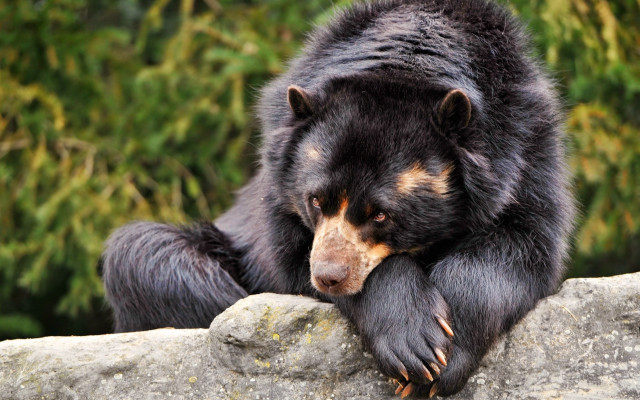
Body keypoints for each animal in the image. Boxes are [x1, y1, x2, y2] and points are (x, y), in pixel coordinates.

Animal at [101, 0, 575, 397]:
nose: (328, 275)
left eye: (381, 215)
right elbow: (291, 259)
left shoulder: (526, 149)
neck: (408, 62)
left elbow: (522, 244)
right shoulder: (278, 184)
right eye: (315, 200)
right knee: (144, 256)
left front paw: (443, 358)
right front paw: (415, 346)